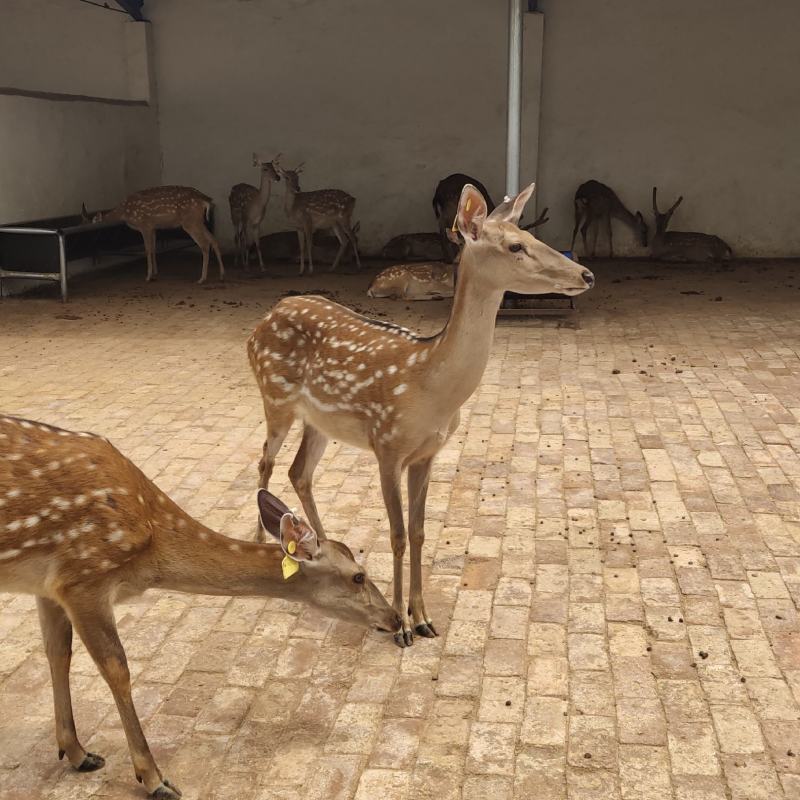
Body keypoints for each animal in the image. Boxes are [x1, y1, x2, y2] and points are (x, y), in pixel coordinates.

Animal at [0, 414, 398, 799]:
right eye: (358, 576)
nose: (395, 619)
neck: (151, 547)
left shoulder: (47, 585)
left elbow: (57, 654)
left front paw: (78, 753)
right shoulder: (84, 575)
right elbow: (118, 670)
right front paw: (154, 778)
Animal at [84, 186, 225, 284]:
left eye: (93, 221)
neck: (125, 212)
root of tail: (205, 201)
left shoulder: (144, 225)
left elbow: (147, 250)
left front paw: (148, 276)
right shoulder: (153, 227)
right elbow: (153, 249)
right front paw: (155, 273)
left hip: (190, 221)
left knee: (205, 244)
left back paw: (202, 279)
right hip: (198, 221)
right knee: (213, 239)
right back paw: (221, 274)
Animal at [247, 182, 594, 647]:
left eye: (532, 235)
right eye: (516, 245)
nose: (586, 275)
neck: (430, 387)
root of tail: (262, 322)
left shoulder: (427, 454)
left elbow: (419, 531)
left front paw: (425, 616)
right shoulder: (387, 446)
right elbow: (396, 535)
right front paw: (402, 625)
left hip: (319, 420)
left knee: (299, 471)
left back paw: (321, 547)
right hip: (275, 397)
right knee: (265, 461)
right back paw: (261, 540)